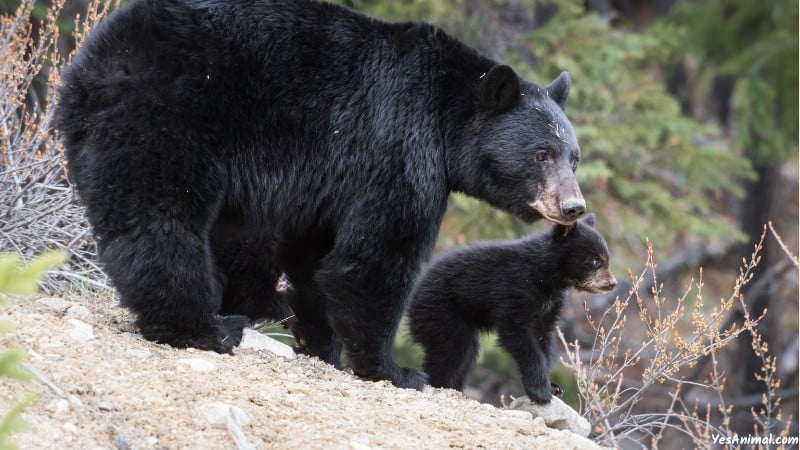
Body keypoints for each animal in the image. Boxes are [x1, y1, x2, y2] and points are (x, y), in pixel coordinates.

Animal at [54, 0, 580, 390]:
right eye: (540, 154)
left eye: (573, 157)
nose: (573, 207)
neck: (446, 113)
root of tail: (94, 58)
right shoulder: (399, 146)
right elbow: (375, 257)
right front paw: (393, 369)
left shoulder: (329, 179)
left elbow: (314, 255)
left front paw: (320, 341)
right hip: (169, 114)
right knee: (161, 217)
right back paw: (204, 327)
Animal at [410, 213, 616, 402]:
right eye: (596, 260)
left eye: (607, 259)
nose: (612, 284)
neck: (546, 277)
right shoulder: (516, 291)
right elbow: (518, 333)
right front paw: (540, 391)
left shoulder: (551, 305)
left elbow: (544, 337)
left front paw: (554, 386)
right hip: (441, 312)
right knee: (451, 352)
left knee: (465, 355)